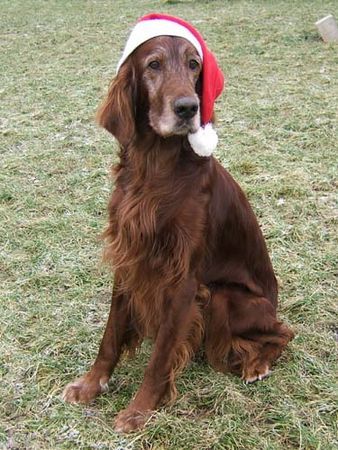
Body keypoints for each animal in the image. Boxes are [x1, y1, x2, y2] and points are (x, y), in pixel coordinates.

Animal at [62, 14, 294, 432]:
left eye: (194, 65)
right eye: (153, 64)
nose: (188, 107)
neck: (156, 168)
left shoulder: (182, 279)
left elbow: (160, 356)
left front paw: (139, 410)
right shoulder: (129, 260)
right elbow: (110, 334)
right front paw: (91, 384)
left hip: (224, 297)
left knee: (284, 332)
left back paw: (257, 364)